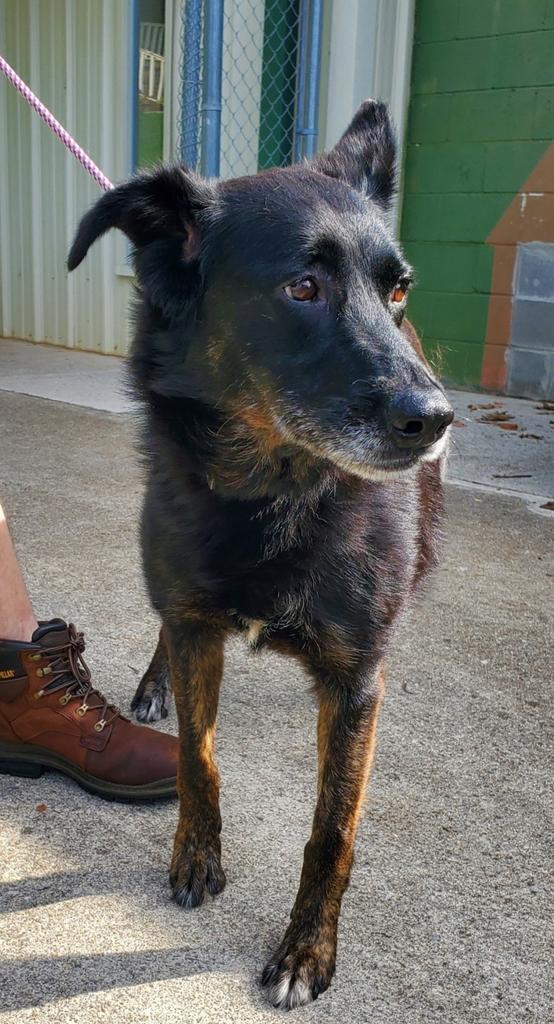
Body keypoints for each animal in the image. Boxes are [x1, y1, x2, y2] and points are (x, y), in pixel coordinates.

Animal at [68, 99, 448, 1011]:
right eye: (301, 288)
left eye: (396, 289)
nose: (436, 418)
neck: (270, 496)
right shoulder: (194, 613)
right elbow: (198, 756)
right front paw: (195, 856)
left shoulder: (357, 679)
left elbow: (333, 829)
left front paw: (307, 950)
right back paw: (152, 684)